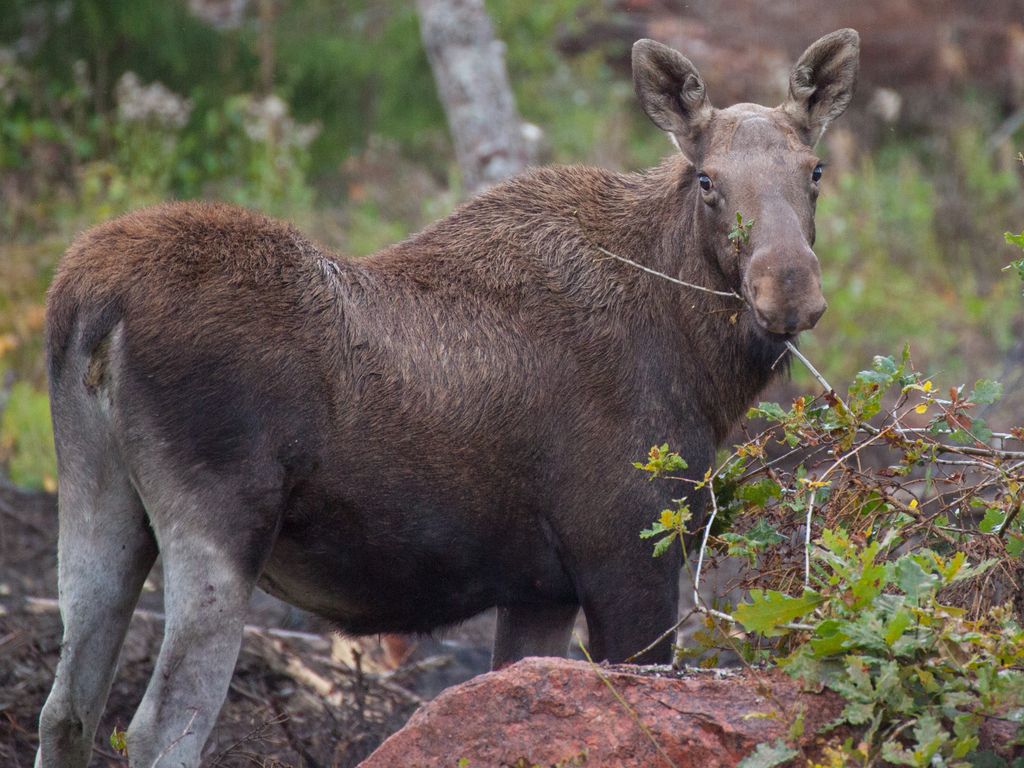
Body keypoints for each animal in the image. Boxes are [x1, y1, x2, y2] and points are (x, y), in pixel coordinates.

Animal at [37, 28, 856, 768]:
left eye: (815, 170)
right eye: (707, 179)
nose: (789, 288)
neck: (702, 366)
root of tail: (94, 302)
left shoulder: (540, 590)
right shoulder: (628, 553)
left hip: (97, 499)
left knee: (67, 711)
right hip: (220, 521)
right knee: (160, 727)